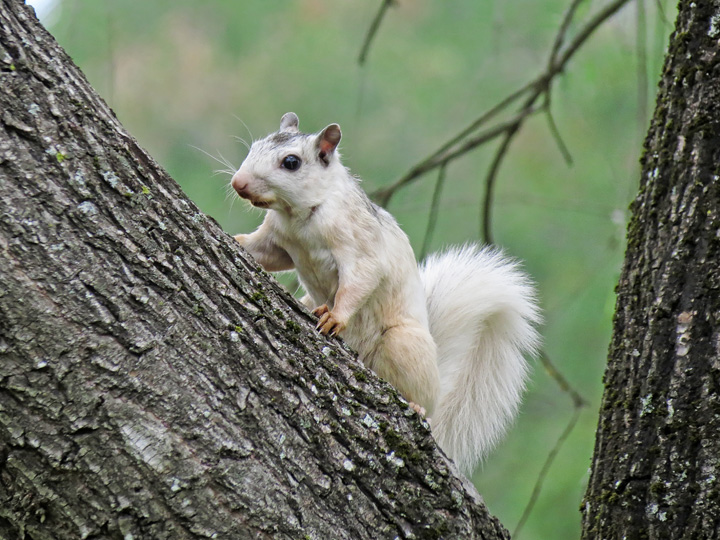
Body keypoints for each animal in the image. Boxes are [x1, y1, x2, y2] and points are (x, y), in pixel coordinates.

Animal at [231, 113, 540, 472]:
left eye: (291, 162)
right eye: (255, 146)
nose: (238, 183)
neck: (298, 218)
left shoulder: (359, 245)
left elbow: (360, 280)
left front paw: (335, 317)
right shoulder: (278, 240)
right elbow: (263, 252)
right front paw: (235, 240)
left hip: (403, 345)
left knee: (422, 400)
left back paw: (419, 408)